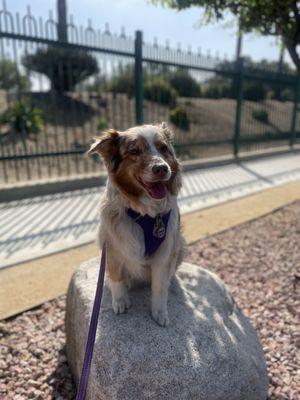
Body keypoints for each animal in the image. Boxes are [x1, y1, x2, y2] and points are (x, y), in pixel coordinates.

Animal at [88, 122, 184, 324]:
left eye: (163, 148)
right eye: (134, 151)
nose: (161, 168)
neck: (147, 213)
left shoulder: (165, 251)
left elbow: (160, 286)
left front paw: (159, 312)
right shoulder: (112, 248)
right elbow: (116, 277)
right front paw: (120, 302)